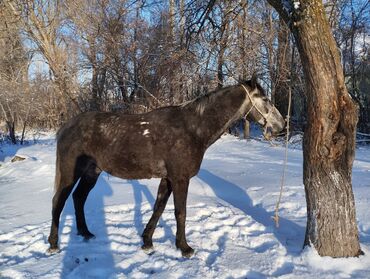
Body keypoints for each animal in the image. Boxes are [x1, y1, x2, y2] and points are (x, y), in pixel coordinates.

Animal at [46, 76, 284, 258]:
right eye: (265, 99)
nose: (281, 125)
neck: (192, 128)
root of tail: (66, 126)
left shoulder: (168, 178)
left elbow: (158, 208)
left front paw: (147, 242)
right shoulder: (180, 178)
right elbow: (180, 212)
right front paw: (185, 248)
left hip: (91, 173)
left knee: (79, 198)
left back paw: (85, 233)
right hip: (70, 173)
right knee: (59, 202)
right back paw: (54, 244)